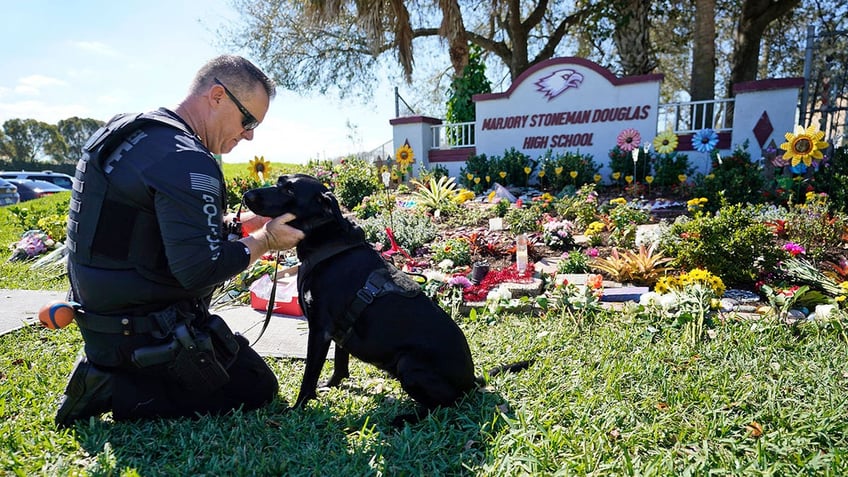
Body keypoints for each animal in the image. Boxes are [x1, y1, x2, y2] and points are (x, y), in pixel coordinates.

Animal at [242, 173, 528, 418]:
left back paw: (403, 419)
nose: (246, 196)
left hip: (408, 364)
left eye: (289, 190)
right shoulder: (338, 330)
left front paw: (298, 407)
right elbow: (340, 363)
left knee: (445, 405)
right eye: (279, 182)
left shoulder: (320, 329)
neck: (328, 243)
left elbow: (309, 374)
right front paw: (332, 385)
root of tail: (471, 381)